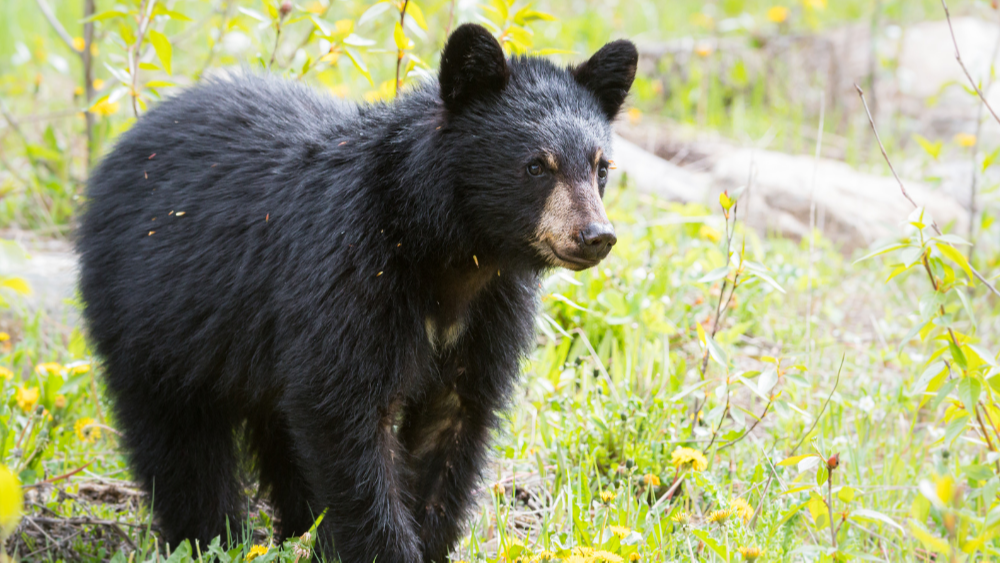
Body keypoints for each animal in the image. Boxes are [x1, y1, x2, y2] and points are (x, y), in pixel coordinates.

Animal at [77, 23, 636, 563]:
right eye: (536, 166)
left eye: (600, 166)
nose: (596, 236)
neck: (448, 252)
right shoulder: (349, 275)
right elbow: (344, 414)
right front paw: (386, 548)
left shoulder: (490, 310)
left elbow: (451, 422)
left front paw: (426, 541)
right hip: (152, 313)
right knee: (179, 441)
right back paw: (212, 537)